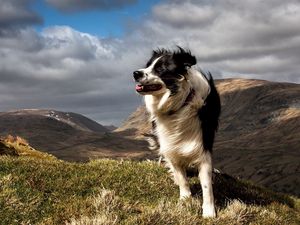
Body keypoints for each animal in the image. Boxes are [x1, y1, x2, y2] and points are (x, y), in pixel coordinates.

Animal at [133, 46, 220, 217]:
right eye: (148, 65)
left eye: (160, 69)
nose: (135, 73)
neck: (179, 103)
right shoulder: (171, 146)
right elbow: (182, 177)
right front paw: (185, 199)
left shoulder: (203, 145)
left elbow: (206, 185)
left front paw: (208, 212)